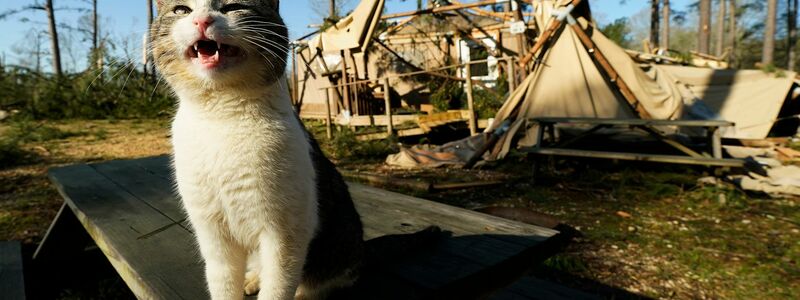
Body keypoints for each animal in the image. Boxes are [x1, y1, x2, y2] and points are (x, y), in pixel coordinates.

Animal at [148, 1, 364, 298]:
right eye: (182, 10)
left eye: (234, 6)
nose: (202, 20)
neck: (221, 118)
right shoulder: (212, 231)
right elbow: (223, 283)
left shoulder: (285, 234)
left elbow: (278, 286)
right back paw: (251, 279)